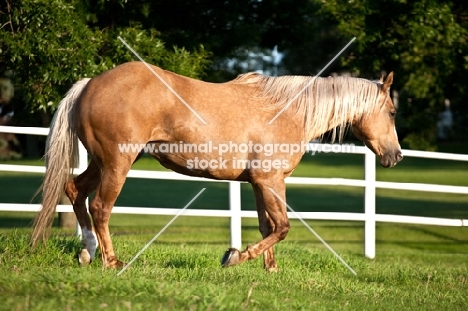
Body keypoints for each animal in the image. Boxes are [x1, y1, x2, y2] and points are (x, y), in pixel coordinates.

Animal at [31, 62, 402, 272]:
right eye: (393, 111)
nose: (395, 156)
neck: (288, 111)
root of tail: (89, 84)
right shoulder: (272, 181)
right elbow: (282, 227)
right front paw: (235, 257)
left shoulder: (258, 182)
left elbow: (267, 227)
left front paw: (269, 270)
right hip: (116, 164)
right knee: (100, 206)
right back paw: (110, 261)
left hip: (103, 161)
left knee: (75, 190)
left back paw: (88, 252)